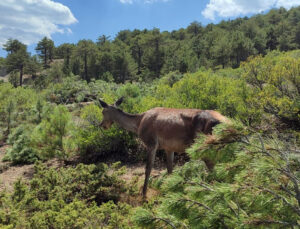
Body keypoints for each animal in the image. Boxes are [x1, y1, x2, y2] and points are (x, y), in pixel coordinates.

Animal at [98, 97, 227, 198]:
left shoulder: (151, 143)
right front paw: (170, 190)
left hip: (205, 146)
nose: (102, 125)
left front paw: (143, 194)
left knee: (213, 169)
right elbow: (170, 170)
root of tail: (224, 121)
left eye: (103, 111)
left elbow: (148, 169)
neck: (138, 124)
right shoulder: (169, 147)